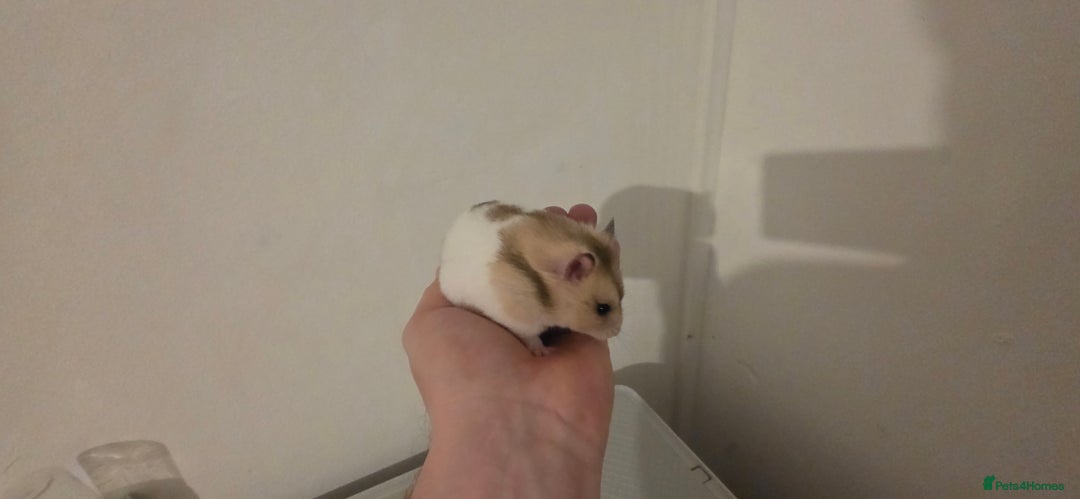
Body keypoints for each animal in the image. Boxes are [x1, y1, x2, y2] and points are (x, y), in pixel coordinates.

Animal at [438, 201, 624, 356]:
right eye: (602, 308)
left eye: (622, 296)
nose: (617, 332)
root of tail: (449, 236)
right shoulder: (522, 324)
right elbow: (532, 338)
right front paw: (546, 352)